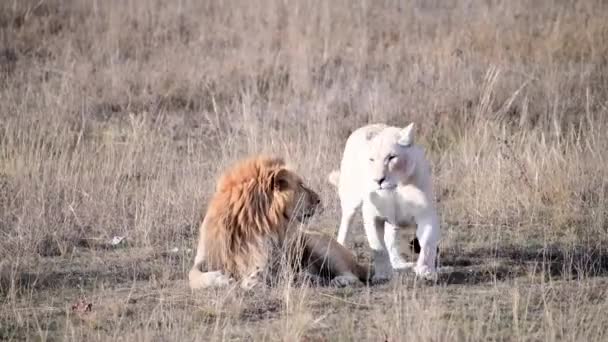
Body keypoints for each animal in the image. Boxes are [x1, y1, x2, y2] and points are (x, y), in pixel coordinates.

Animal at [188, 156, 372, 290]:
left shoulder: (274, 261)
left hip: (316, 242)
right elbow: (193, 275)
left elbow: (263, 271)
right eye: (301, 185)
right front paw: (221, 279)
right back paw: (307, 277)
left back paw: (339, 281)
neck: (249, 226)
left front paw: (252, 280)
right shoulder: (205, 257)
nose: (320, 200)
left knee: (353, 275)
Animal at [330, 122, 440, 280]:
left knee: (391, 239)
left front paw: (426, 271)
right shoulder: (372, 216)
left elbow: (428, 242)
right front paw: (383, 275)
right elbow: (378, 247)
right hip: (350, 201)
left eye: (392, 157)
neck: (395, 187)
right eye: (371, 159)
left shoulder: (426, 214)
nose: (378, 180)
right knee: (345, 227)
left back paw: (399, 263)